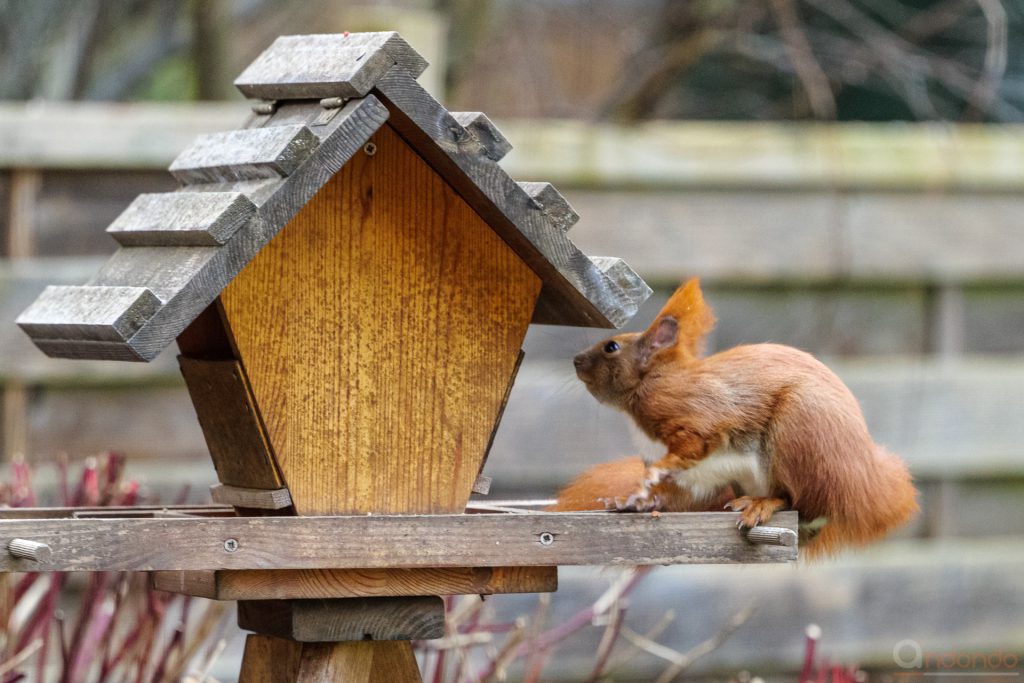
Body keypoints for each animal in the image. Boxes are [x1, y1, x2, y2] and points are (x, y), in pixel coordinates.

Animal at [552, 280, 921, 557]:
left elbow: (692, 444)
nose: (575, 360)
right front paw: (633, 502)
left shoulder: (696, 414)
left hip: (801, 433)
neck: (650, 384)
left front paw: (653, 476)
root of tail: (865, 488)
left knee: (800, 502)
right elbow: (675, 497)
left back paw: (762, 504)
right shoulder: (695, 481)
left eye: (611, 347)